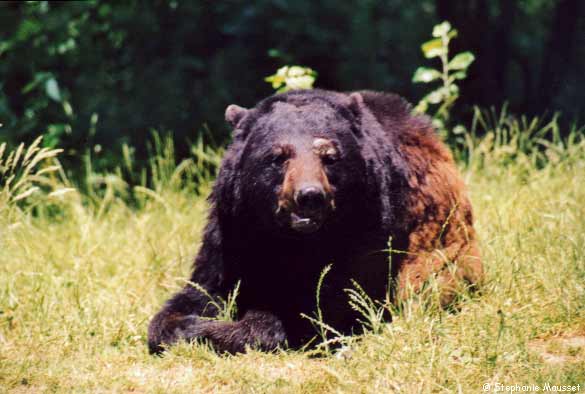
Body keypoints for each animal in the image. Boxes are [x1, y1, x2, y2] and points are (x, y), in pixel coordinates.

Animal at [147, 88, 484, 354]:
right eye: (278, 156)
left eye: (330, 156)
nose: (309, 195)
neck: (295, 243)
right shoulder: (233, 233)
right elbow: (203, 288)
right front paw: (180, 323)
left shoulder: (370, 231)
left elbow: (324, 307)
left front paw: (217, 329)